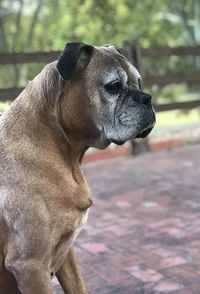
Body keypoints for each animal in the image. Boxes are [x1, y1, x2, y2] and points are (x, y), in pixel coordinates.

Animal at [0, 42, 155, 292]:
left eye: (138, 82)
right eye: (114, 86)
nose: (146, 98)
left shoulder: (66, 253)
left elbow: (78, 286)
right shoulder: (30, 267)